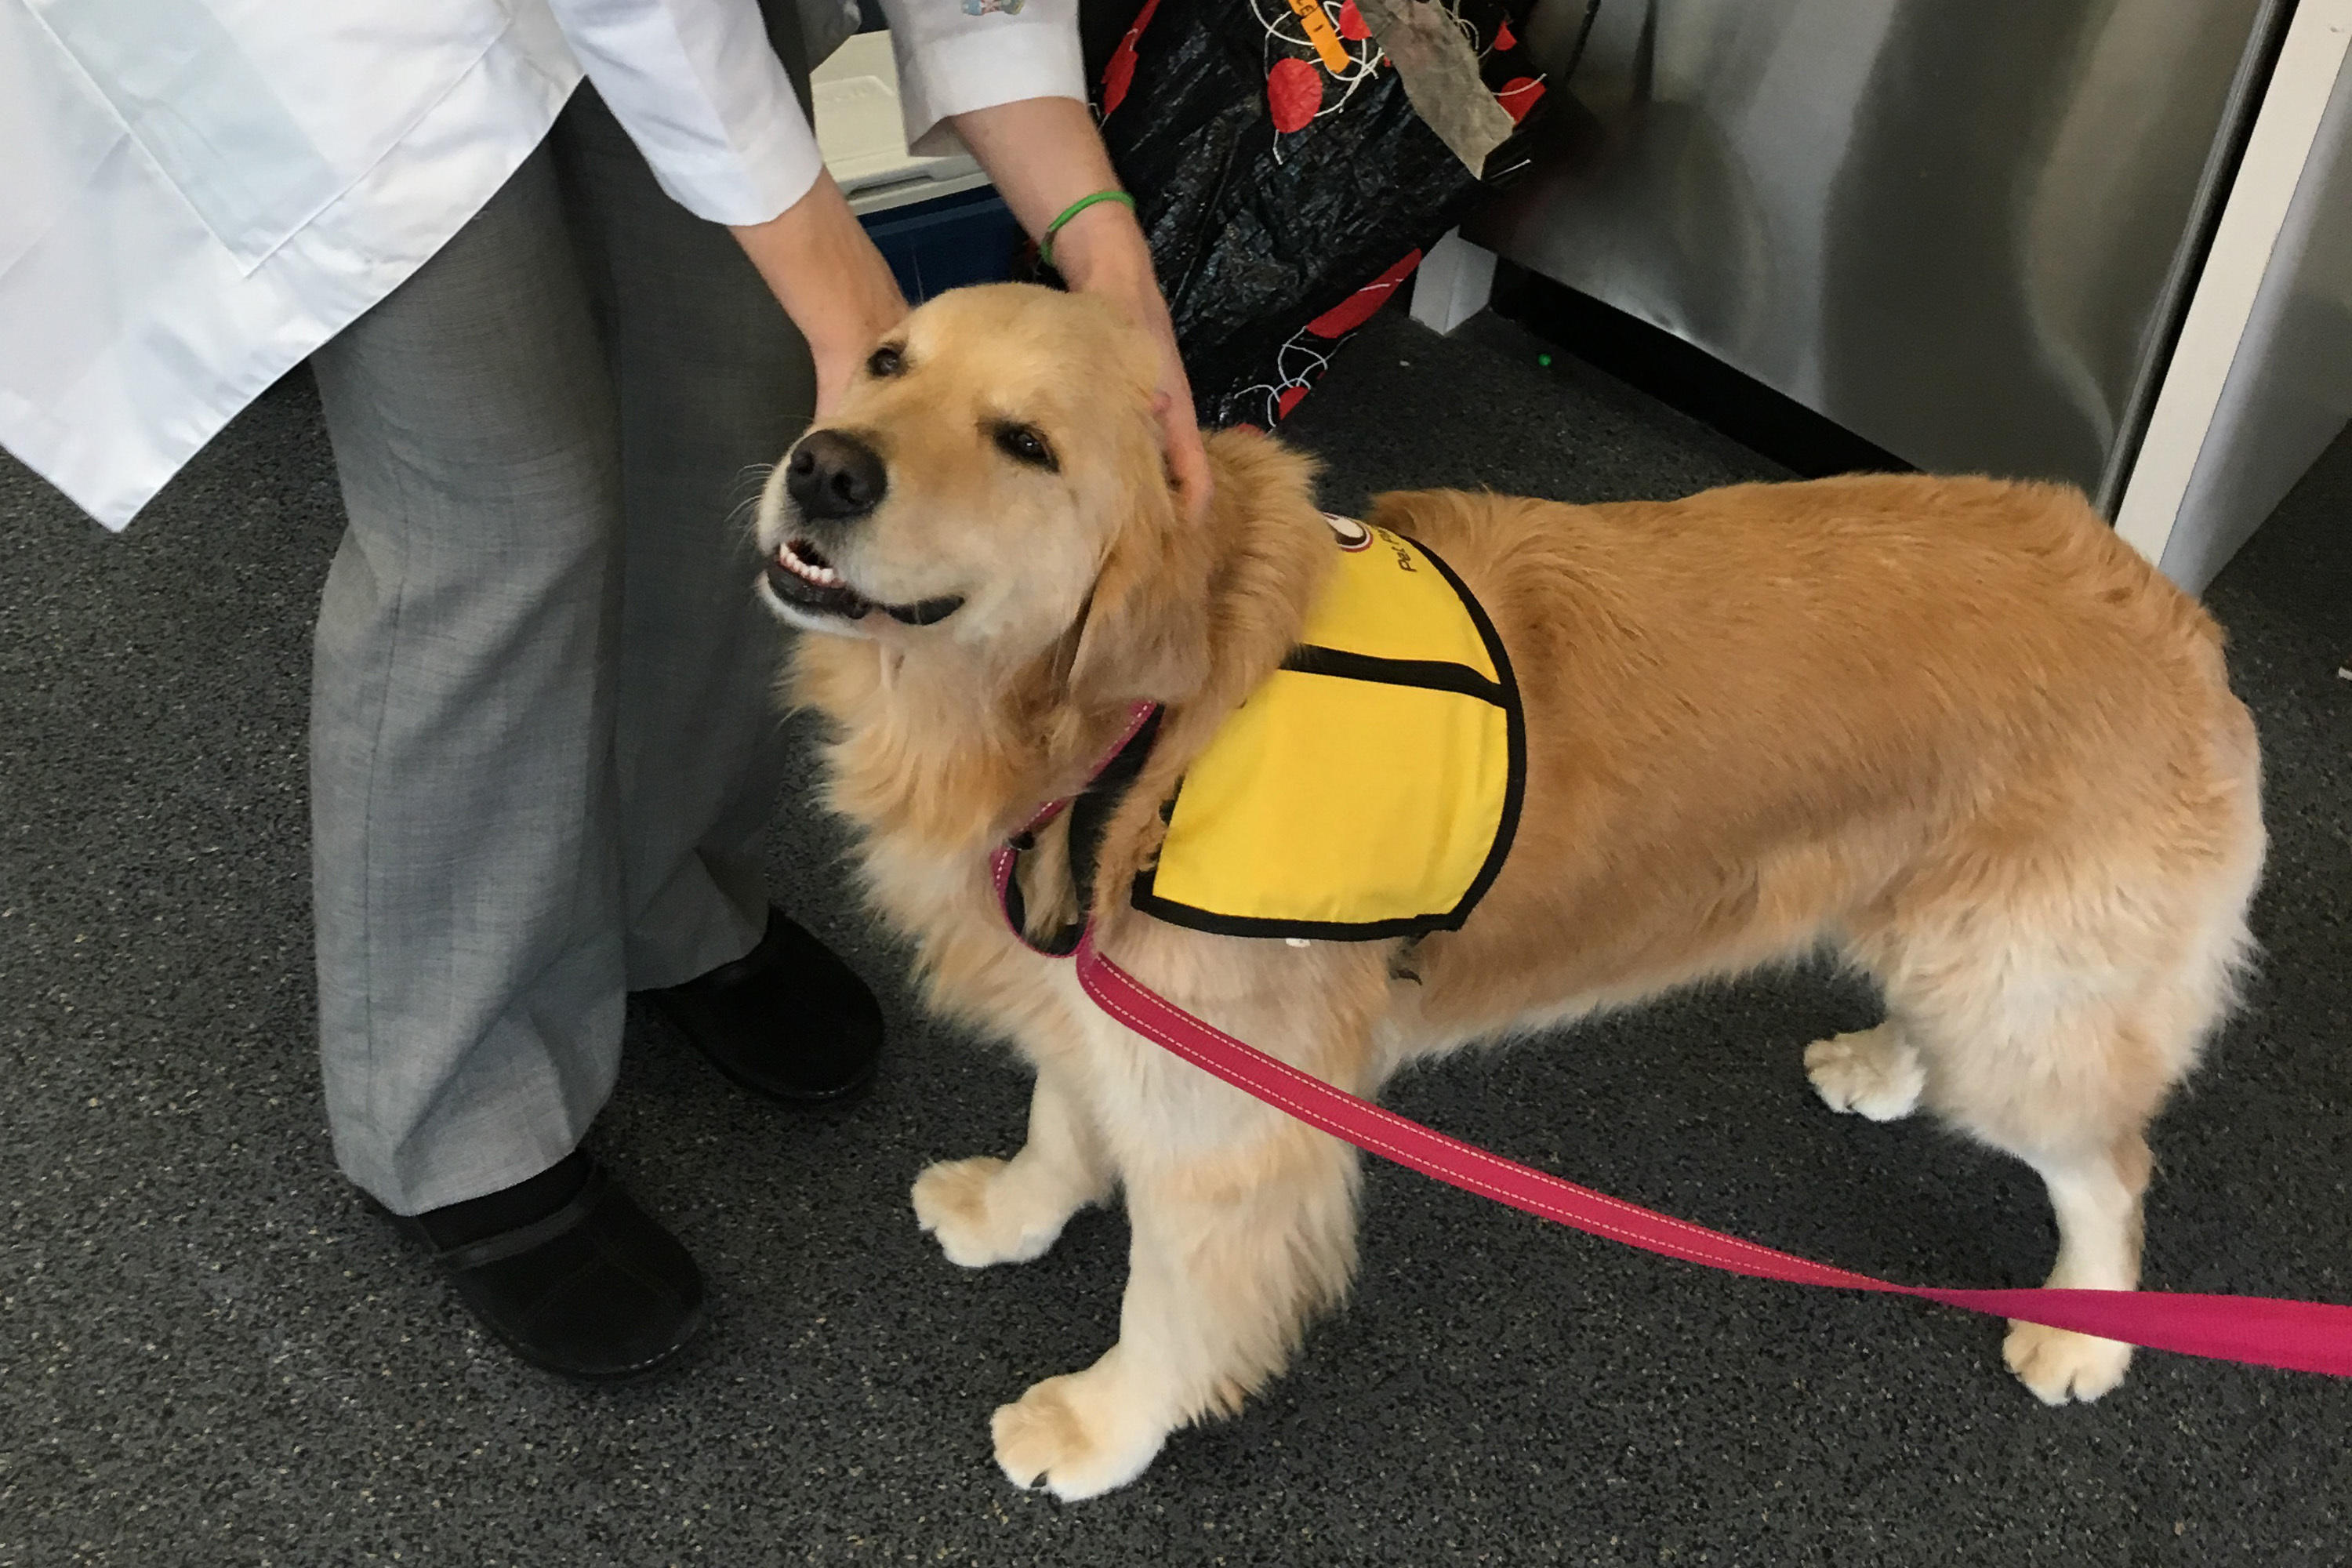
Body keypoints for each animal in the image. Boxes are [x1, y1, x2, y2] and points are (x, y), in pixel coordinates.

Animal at [753, 278, 2258, 1495]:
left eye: (1028, 446)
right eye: (884, 360)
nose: (822, 468)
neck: (1133, 732)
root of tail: (2180, 619)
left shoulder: (1233, 1115)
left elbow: (1167, 1303)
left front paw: (1099, 1427)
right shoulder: (1099, 998)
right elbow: (1065, 1124)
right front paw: (1015, 1211)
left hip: (2028, 993)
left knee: (2111, 1165)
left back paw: (2079, 1329)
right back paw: (1886, 1069)